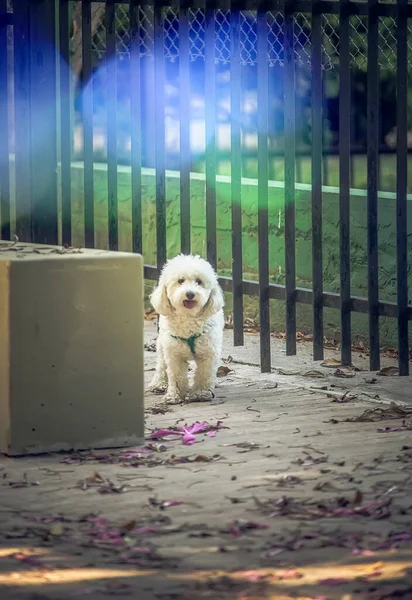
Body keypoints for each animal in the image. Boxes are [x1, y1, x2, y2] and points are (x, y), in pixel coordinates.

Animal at [149, 253, 225, 404]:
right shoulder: (173, 353)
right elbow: (176, 375)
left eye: (199, 281)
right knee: (161, 364)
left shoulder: (208, 353)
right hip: (161, 344)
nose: (190, 294)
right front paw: (175, 395)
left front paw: (200, 393)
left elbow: (204, 374)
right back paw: (159, 383)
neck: (188, 319)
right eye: (180, 280)